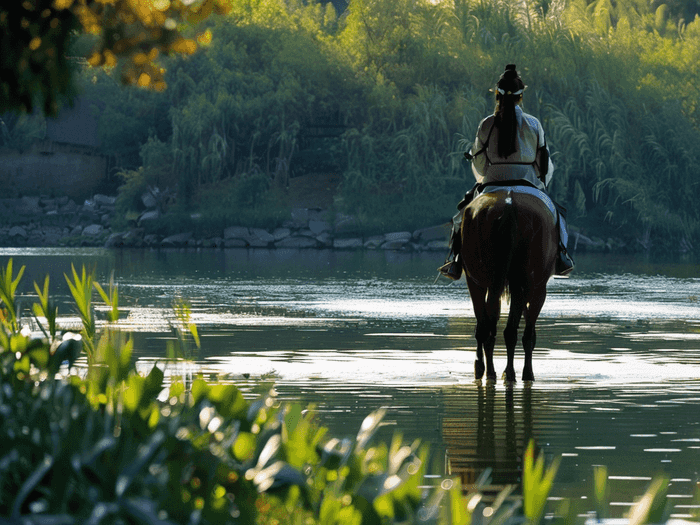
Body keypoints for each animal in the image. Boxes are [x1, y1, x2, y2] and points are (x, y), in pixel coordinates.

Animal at [460, 188, 556, 380]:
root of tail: (509, 202)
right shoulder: (537, 288)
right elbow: (528, 333)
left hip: (483, 280)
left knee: (488, 327)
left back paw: (490, 370)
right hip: (520, 280)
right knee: (510, 330)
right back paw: (511, 372)